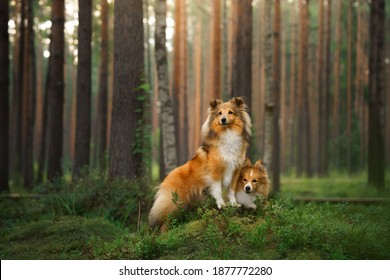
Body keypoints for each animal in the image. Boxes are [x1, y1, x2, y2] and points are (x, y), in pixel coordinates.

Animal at [148, 97, 251, 229]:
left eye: (231, 112)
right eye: (219, 113)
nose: (223, 120)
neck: (228, 134)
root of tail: (165, 179)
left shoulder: (235, 172)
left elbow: (231, 190)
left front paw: (234, 204)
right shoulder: (215, 172)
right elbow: (217, 190)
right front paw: (221, 204)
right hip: (174, 203)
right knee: (165, 220)